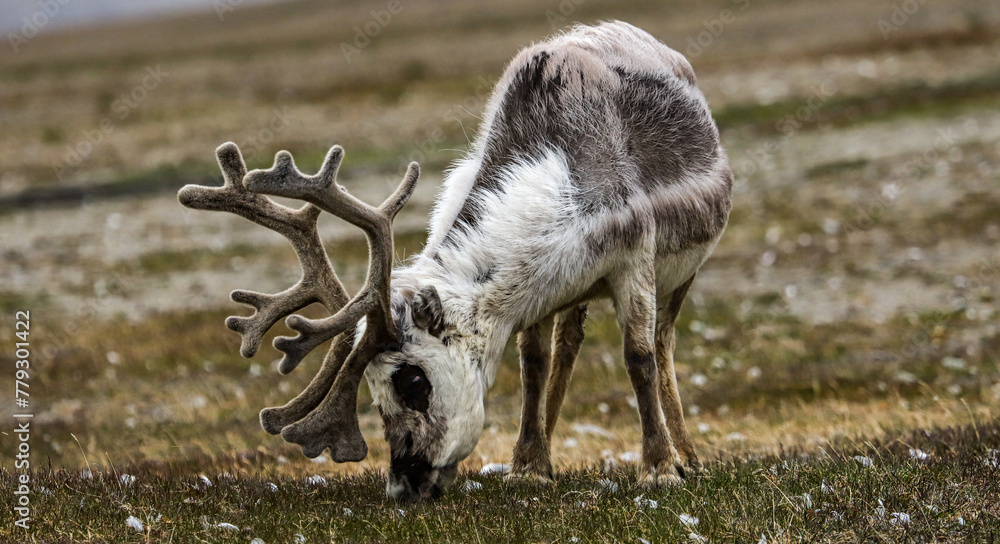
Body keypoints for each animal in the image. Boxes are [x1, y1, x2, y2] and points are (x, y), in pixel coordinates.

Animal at [177, 21, 731, 502]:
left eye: (412, 381)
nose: (403, 485)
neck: (563, 195)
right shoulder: (547, 285)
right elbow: (534, 365)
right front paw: (529, 466)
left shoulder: (633, 260)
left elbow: (637, 358)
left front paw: (658, 470)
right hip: (580, 295)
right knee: (568, 346)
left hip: (684, 272)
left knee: (663, 343)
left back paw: (687, 456)